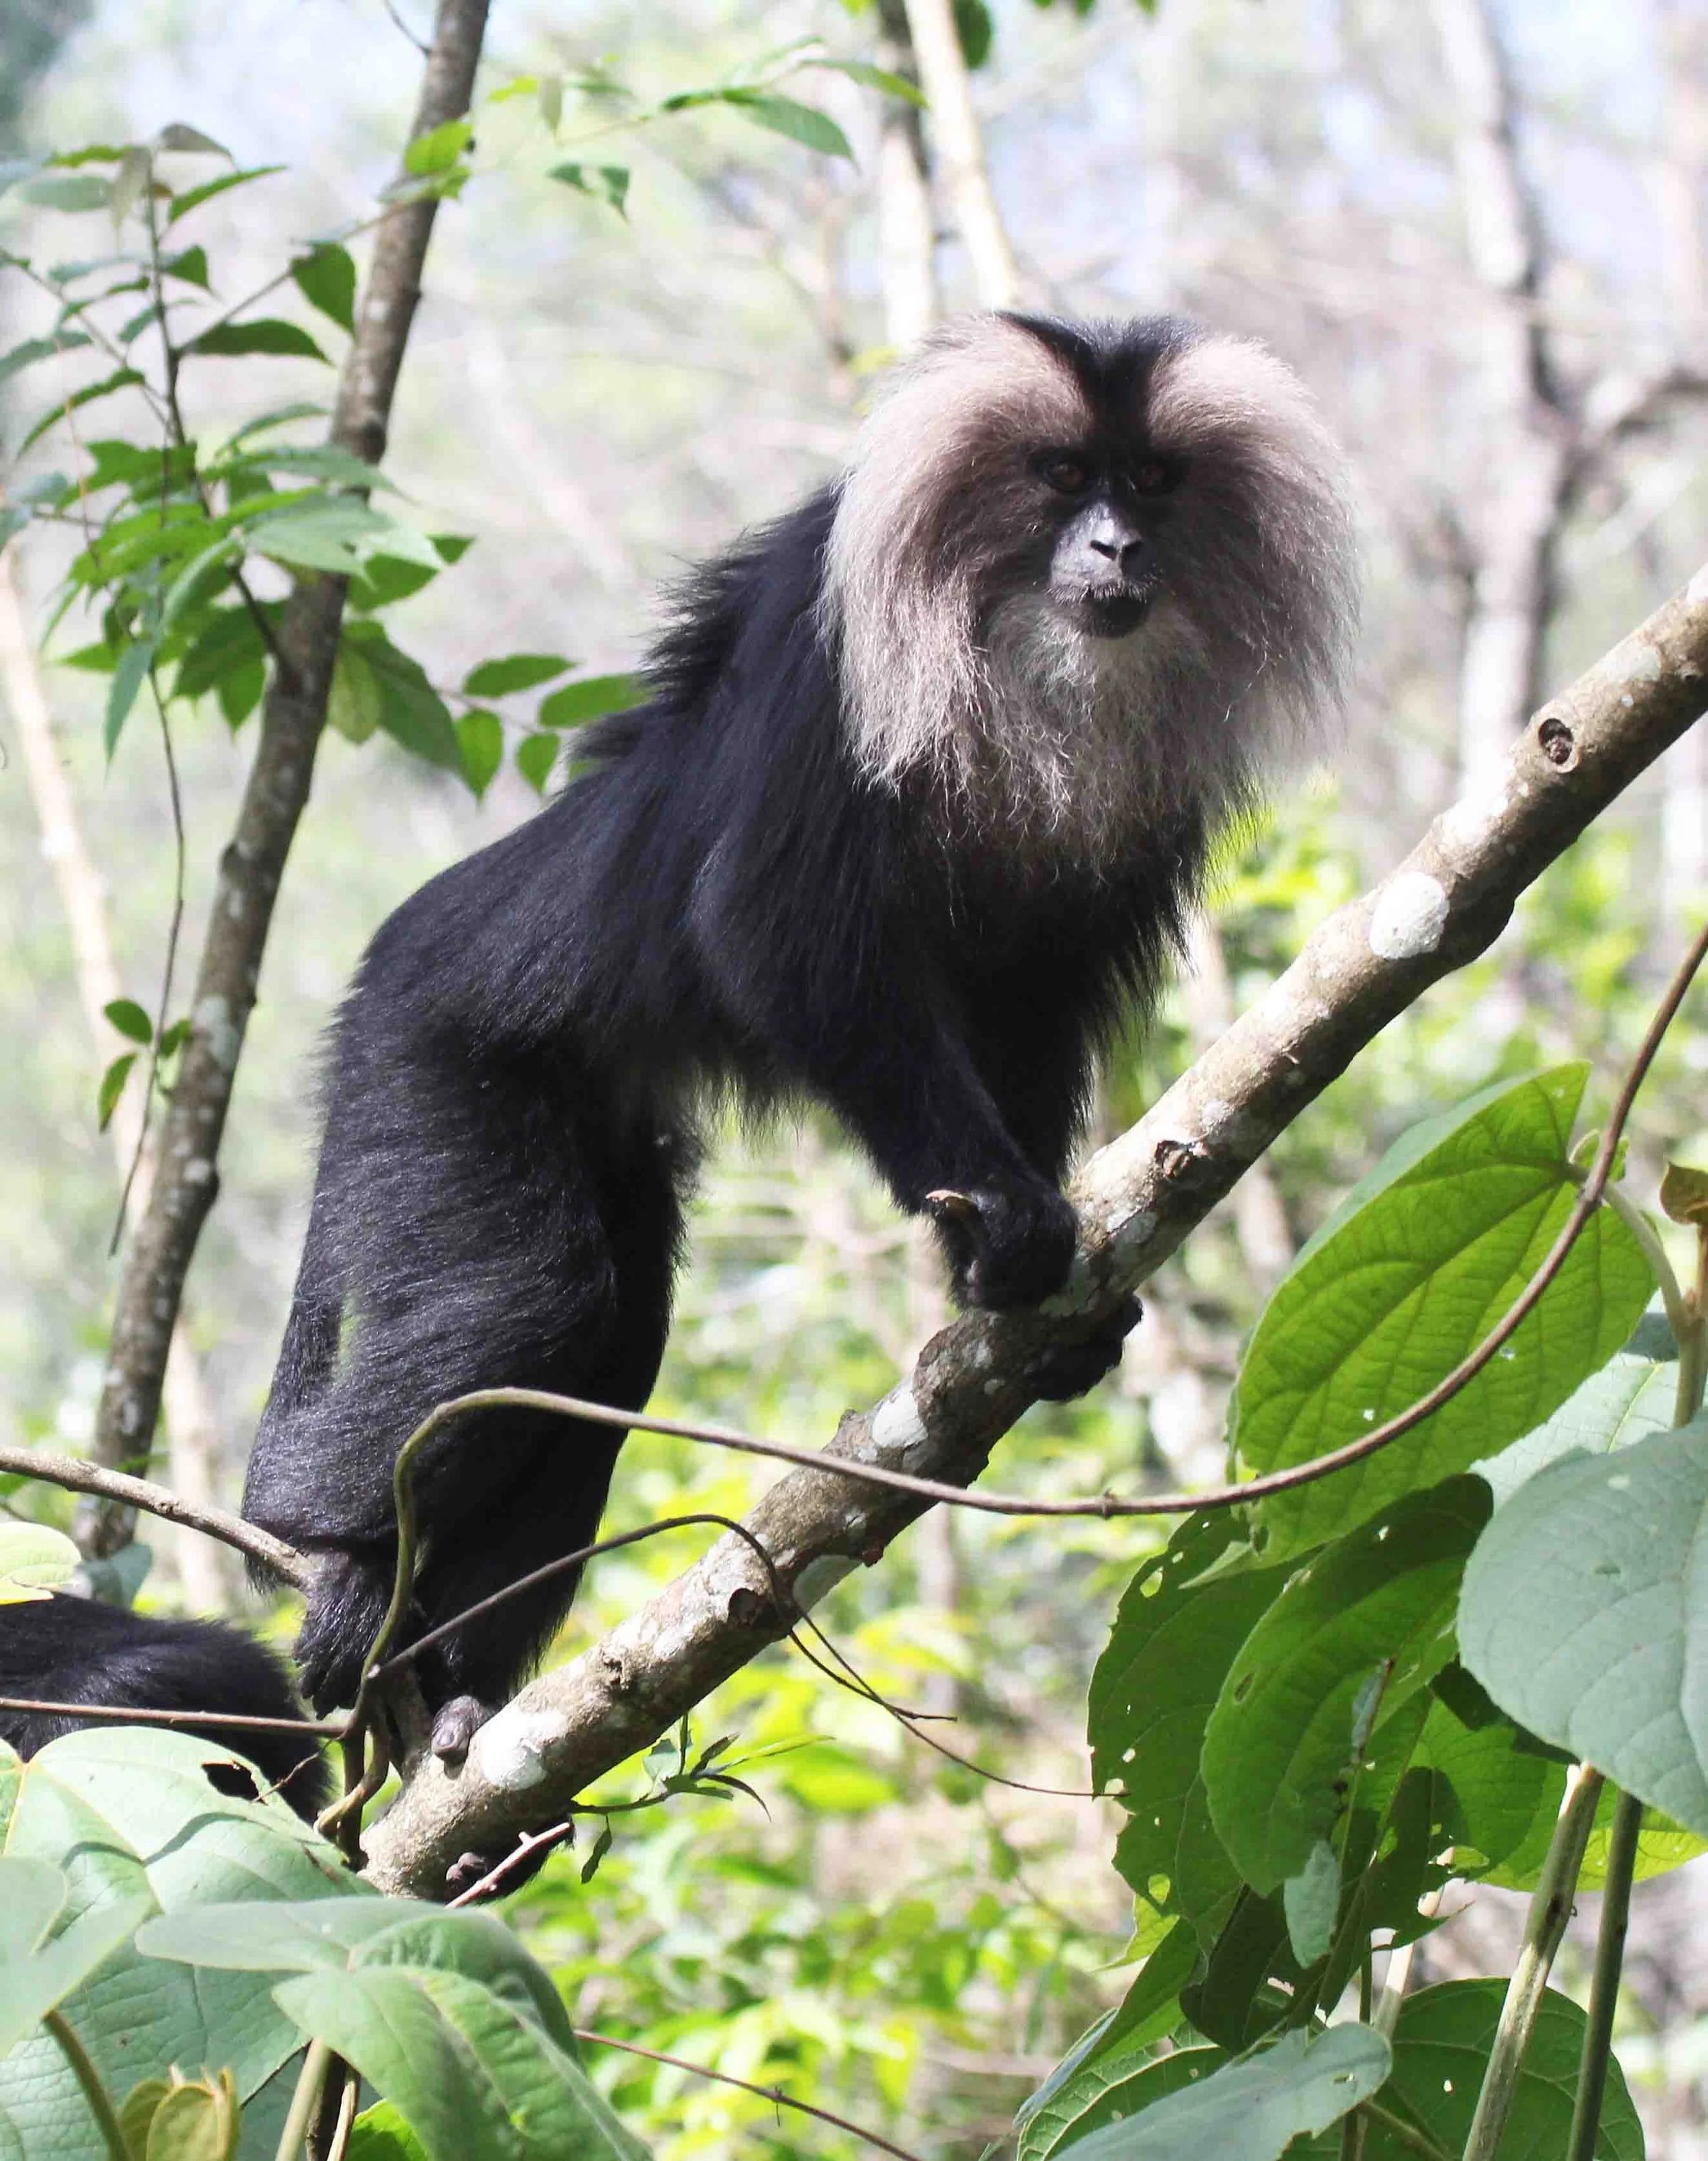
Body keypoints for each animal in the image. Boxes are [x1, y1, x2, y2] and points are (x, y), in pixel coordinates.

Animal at [224, 311, 1355, 1768]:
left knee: (610, 1337)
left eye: (1151, 482)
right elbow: (774, 935)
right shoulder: (822, 666)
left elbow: (1030, 1011)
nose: (1118, 549)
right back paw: (327, 1544)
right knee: (531, 1301)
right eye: (1062, 477)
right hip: (429, 1068)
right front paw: (1006, 1218)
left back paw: (457, 1693)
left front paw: (1029, 1303)